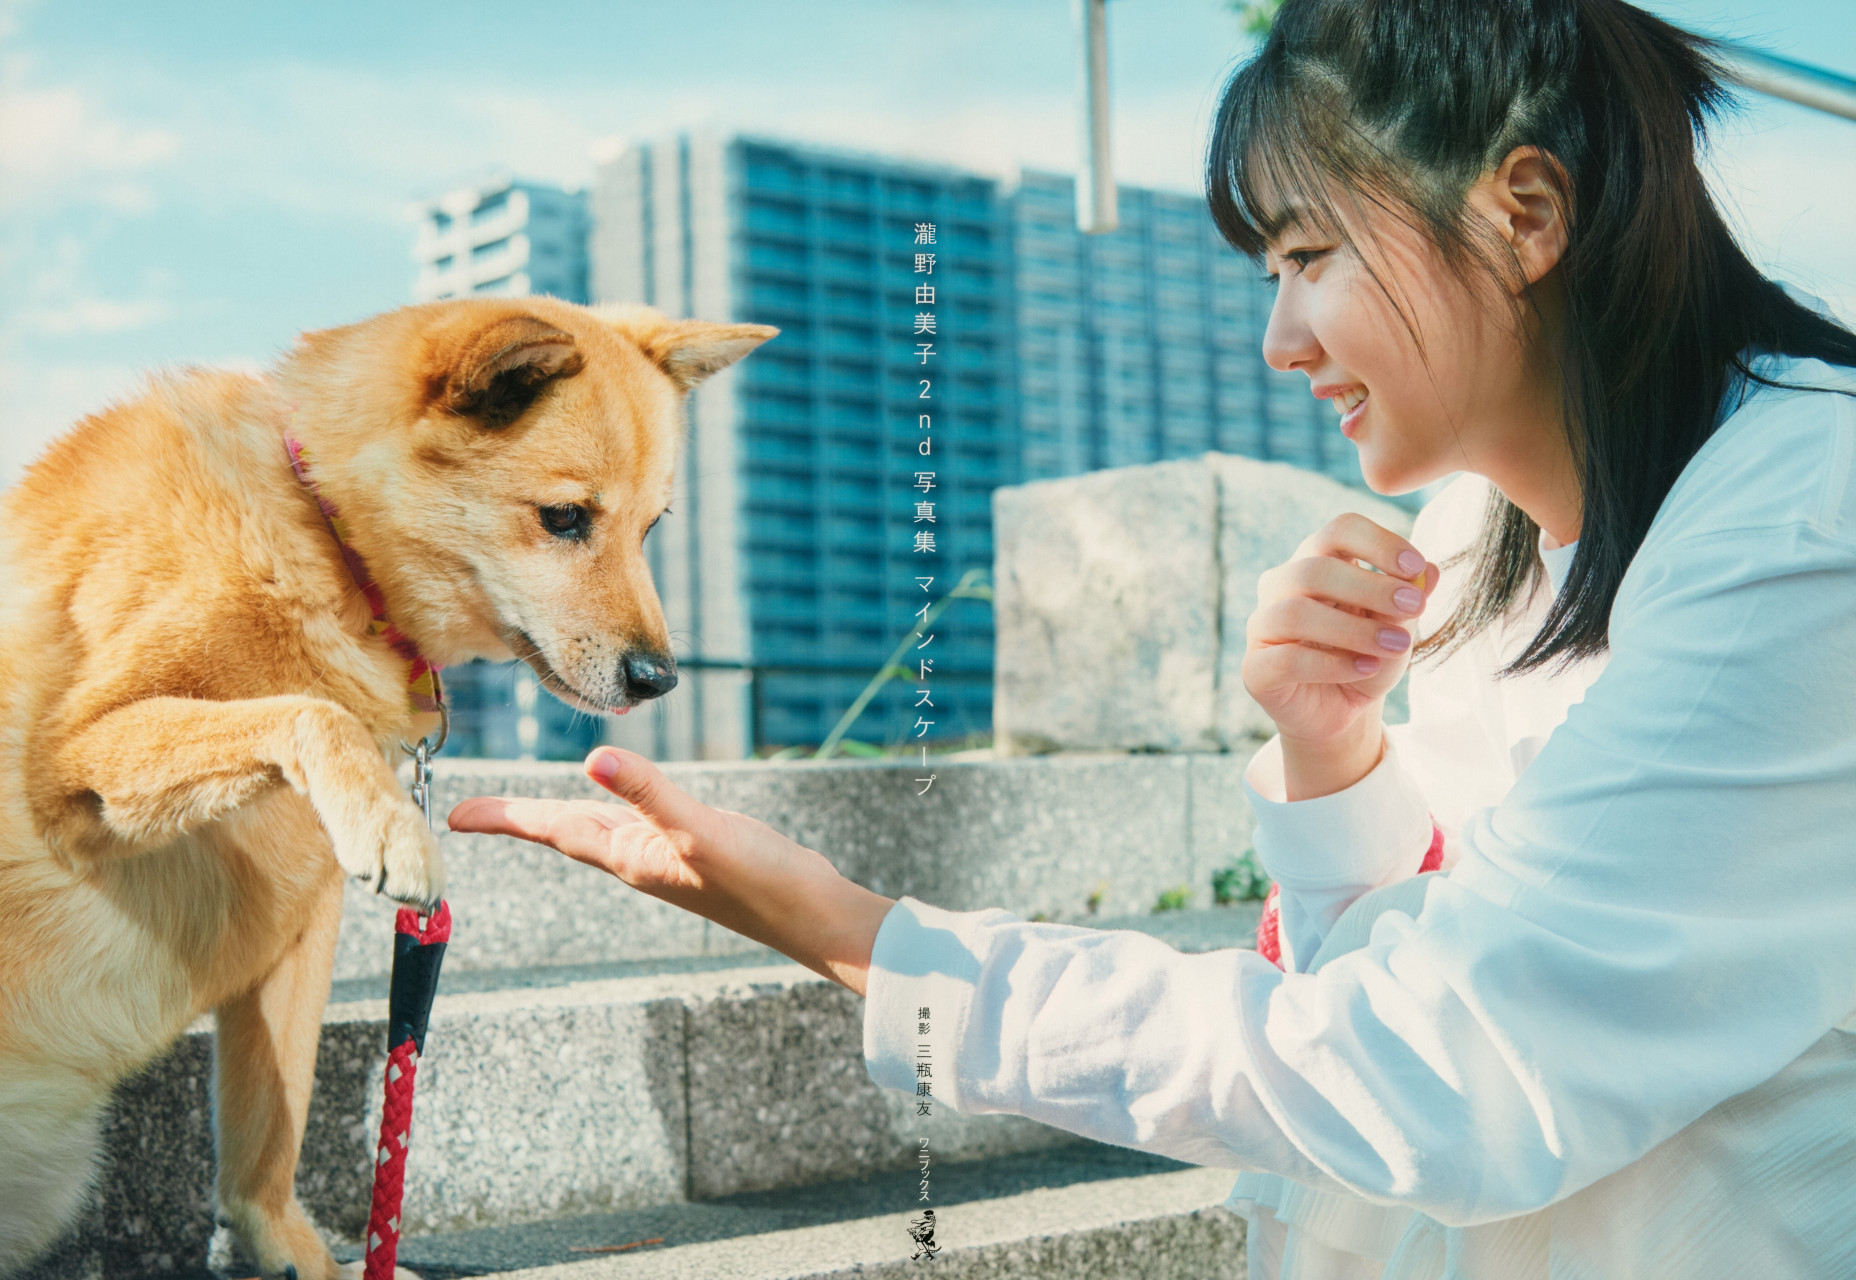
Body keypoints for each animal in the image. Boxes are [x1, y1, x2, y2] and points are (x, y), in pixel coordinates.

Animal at [0, 294, 775, 1268]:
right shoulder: (73, 765)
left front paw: (302, 1257)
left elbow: (270, 1142)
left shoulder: (300, 918)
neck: (321, 534)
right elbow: (307, 710)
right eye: (565, 518)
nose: (658, 679)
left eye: (652, 528)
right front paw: (391, 825)